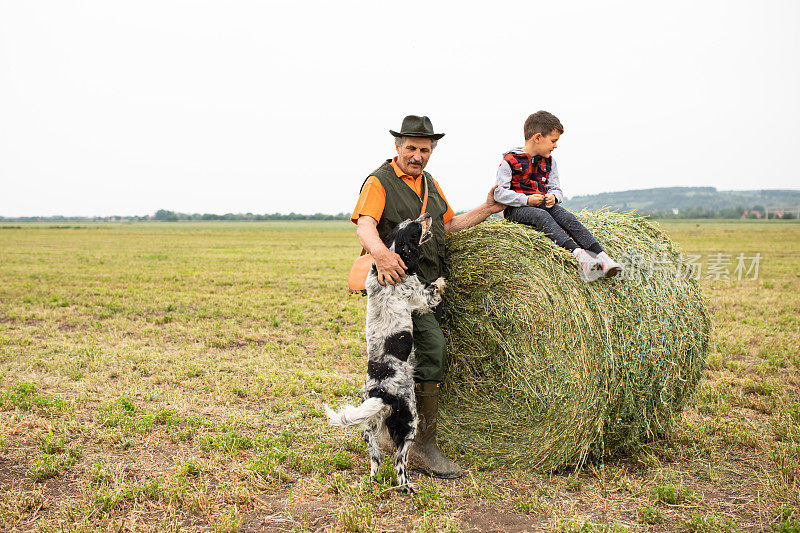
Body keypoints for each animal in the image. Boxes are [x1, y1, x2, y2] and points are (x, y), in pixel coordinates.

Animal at [328, 212, 446, 490]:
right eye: (415, 227)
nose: (426, 214)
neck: (393, 251)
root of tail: (381, 395)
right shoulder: (418, 297)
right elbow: (431, 292)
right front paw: (441, 281)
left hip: (368, 431)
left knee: (375, 463)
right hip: (409, 422)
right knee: (400, 465)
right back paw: (409, 488)